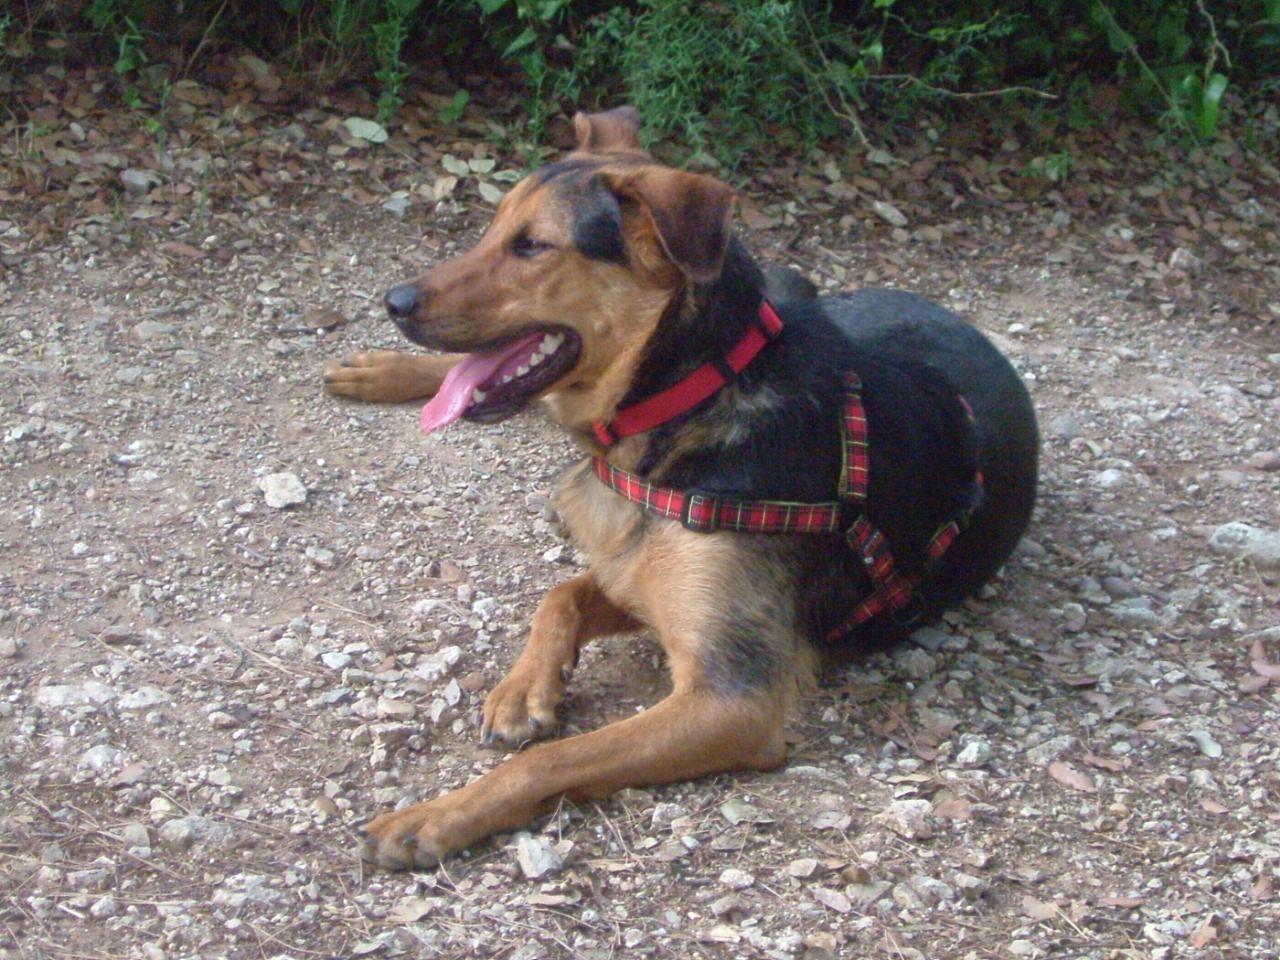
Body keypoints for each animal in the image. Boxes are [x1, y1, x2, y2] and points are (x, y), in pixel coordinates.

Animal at [326, 107, 1039, 870]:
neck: (694, 399)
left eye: (532, 246)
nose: (394, 302)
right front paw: (524, 690)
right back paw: (382, 370)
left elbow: (553, 757)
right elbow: (561, 595)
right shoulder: (633, 568)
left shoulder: (731, 696)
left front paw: (433, 816)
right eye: (493, 229)